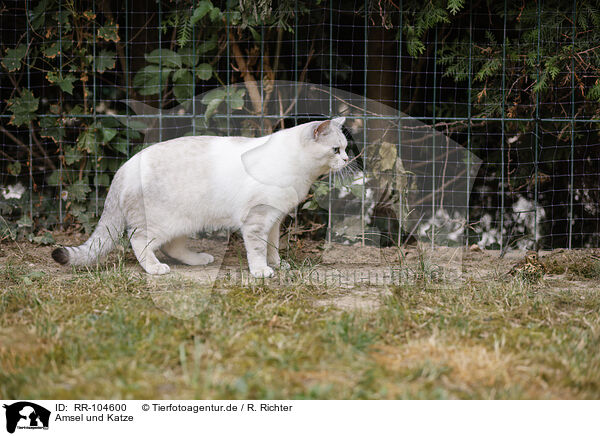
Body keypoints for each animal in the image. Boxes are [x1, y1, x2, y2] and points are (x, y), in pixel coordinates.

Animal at [55, 117, 352, 278]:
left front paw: (278, 265)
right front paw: (261, 272)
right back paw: (155, 269)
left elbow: (273, 247)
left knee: (172, 247)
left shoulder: (274, 220)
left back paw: (198, 260)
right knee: (139, 242)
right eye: (336, 150)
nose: (349, 159)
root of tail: (126, 165)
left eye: (345, 148)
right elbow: (258, 250)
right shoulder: (257, 221)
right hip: (161, 223)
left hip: (184, 222)